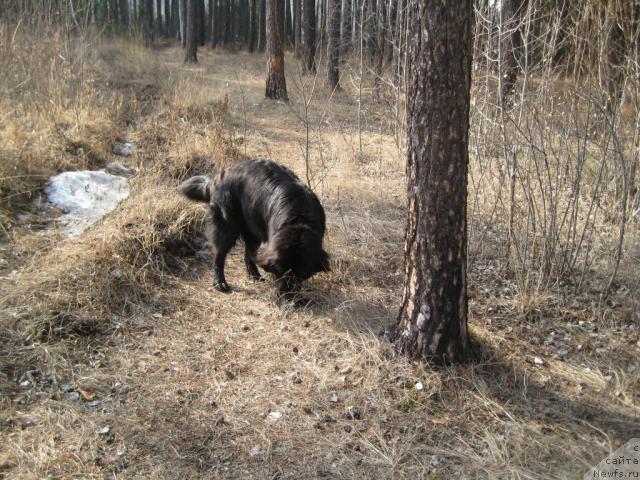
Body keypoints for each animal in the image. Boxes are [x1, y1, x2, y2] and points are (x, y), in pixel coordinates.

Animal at [179, 159, 330, 298]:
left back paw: (254, 275)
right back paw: (220, 283)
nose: (287, 297)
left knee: (248, 254)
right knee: (219, 255)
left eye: (301, 276)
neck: (299, 219)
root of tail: (216, 179)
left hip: (253, 227)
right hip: (228, 225)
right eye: (280, 273)